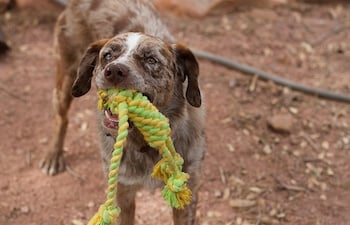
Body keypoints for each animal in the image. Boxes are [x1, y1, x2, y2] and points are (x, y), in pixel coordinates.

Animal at [39, 0, 205, 225]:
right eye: (108, 55)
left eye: (151, 60)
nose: (114, 70)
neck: (145, 144)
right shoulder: (122, 193)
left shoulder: (188, 194)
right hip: (66, 78)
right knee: (61, 117)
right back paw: (53, 156)